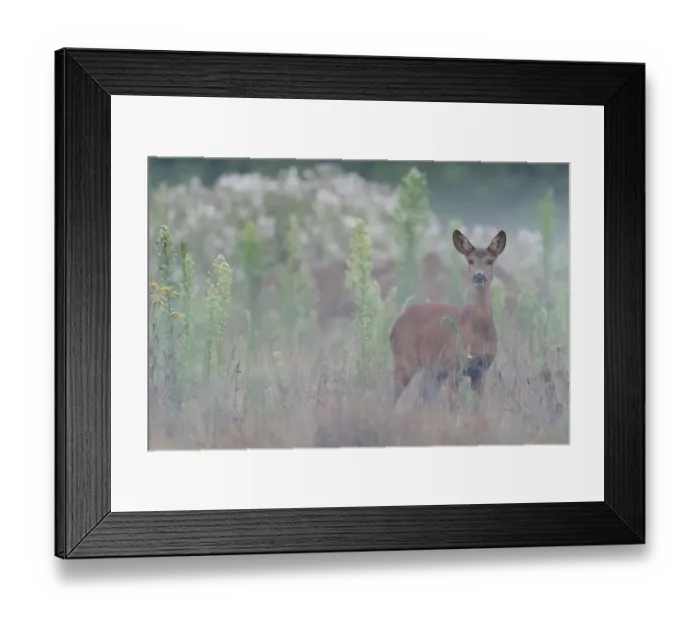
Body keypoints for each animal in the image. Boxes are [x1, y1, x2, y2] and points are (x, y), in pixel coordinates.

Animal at [389, 228, 507, 412]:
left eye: (490, 261)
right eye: (470, 260)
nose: (479, 276)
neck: (478, 329)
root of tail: (393, 328)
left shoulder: (481, 370)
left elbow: (478, 407)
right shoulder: (454, 365)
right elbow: (454, 405)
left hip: (433, 370)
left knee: (423, 395)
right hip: (405, 359)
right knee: (394, 395)